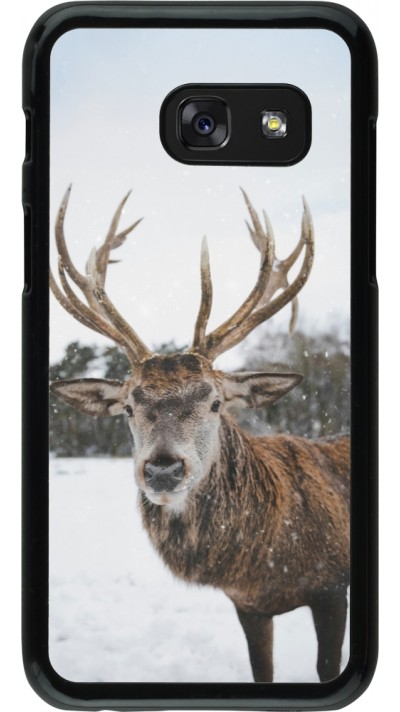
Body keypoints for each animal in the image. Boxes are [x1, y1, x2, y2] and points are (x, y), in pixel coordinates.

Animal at [50, 186, 350, 683]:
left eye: (214, 402)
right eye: (128, 407)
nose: (163, 469)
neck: (267, 562)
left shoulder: (332, 587)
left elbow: (328, 667)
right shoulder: (248, 606)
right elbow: (262, 672)